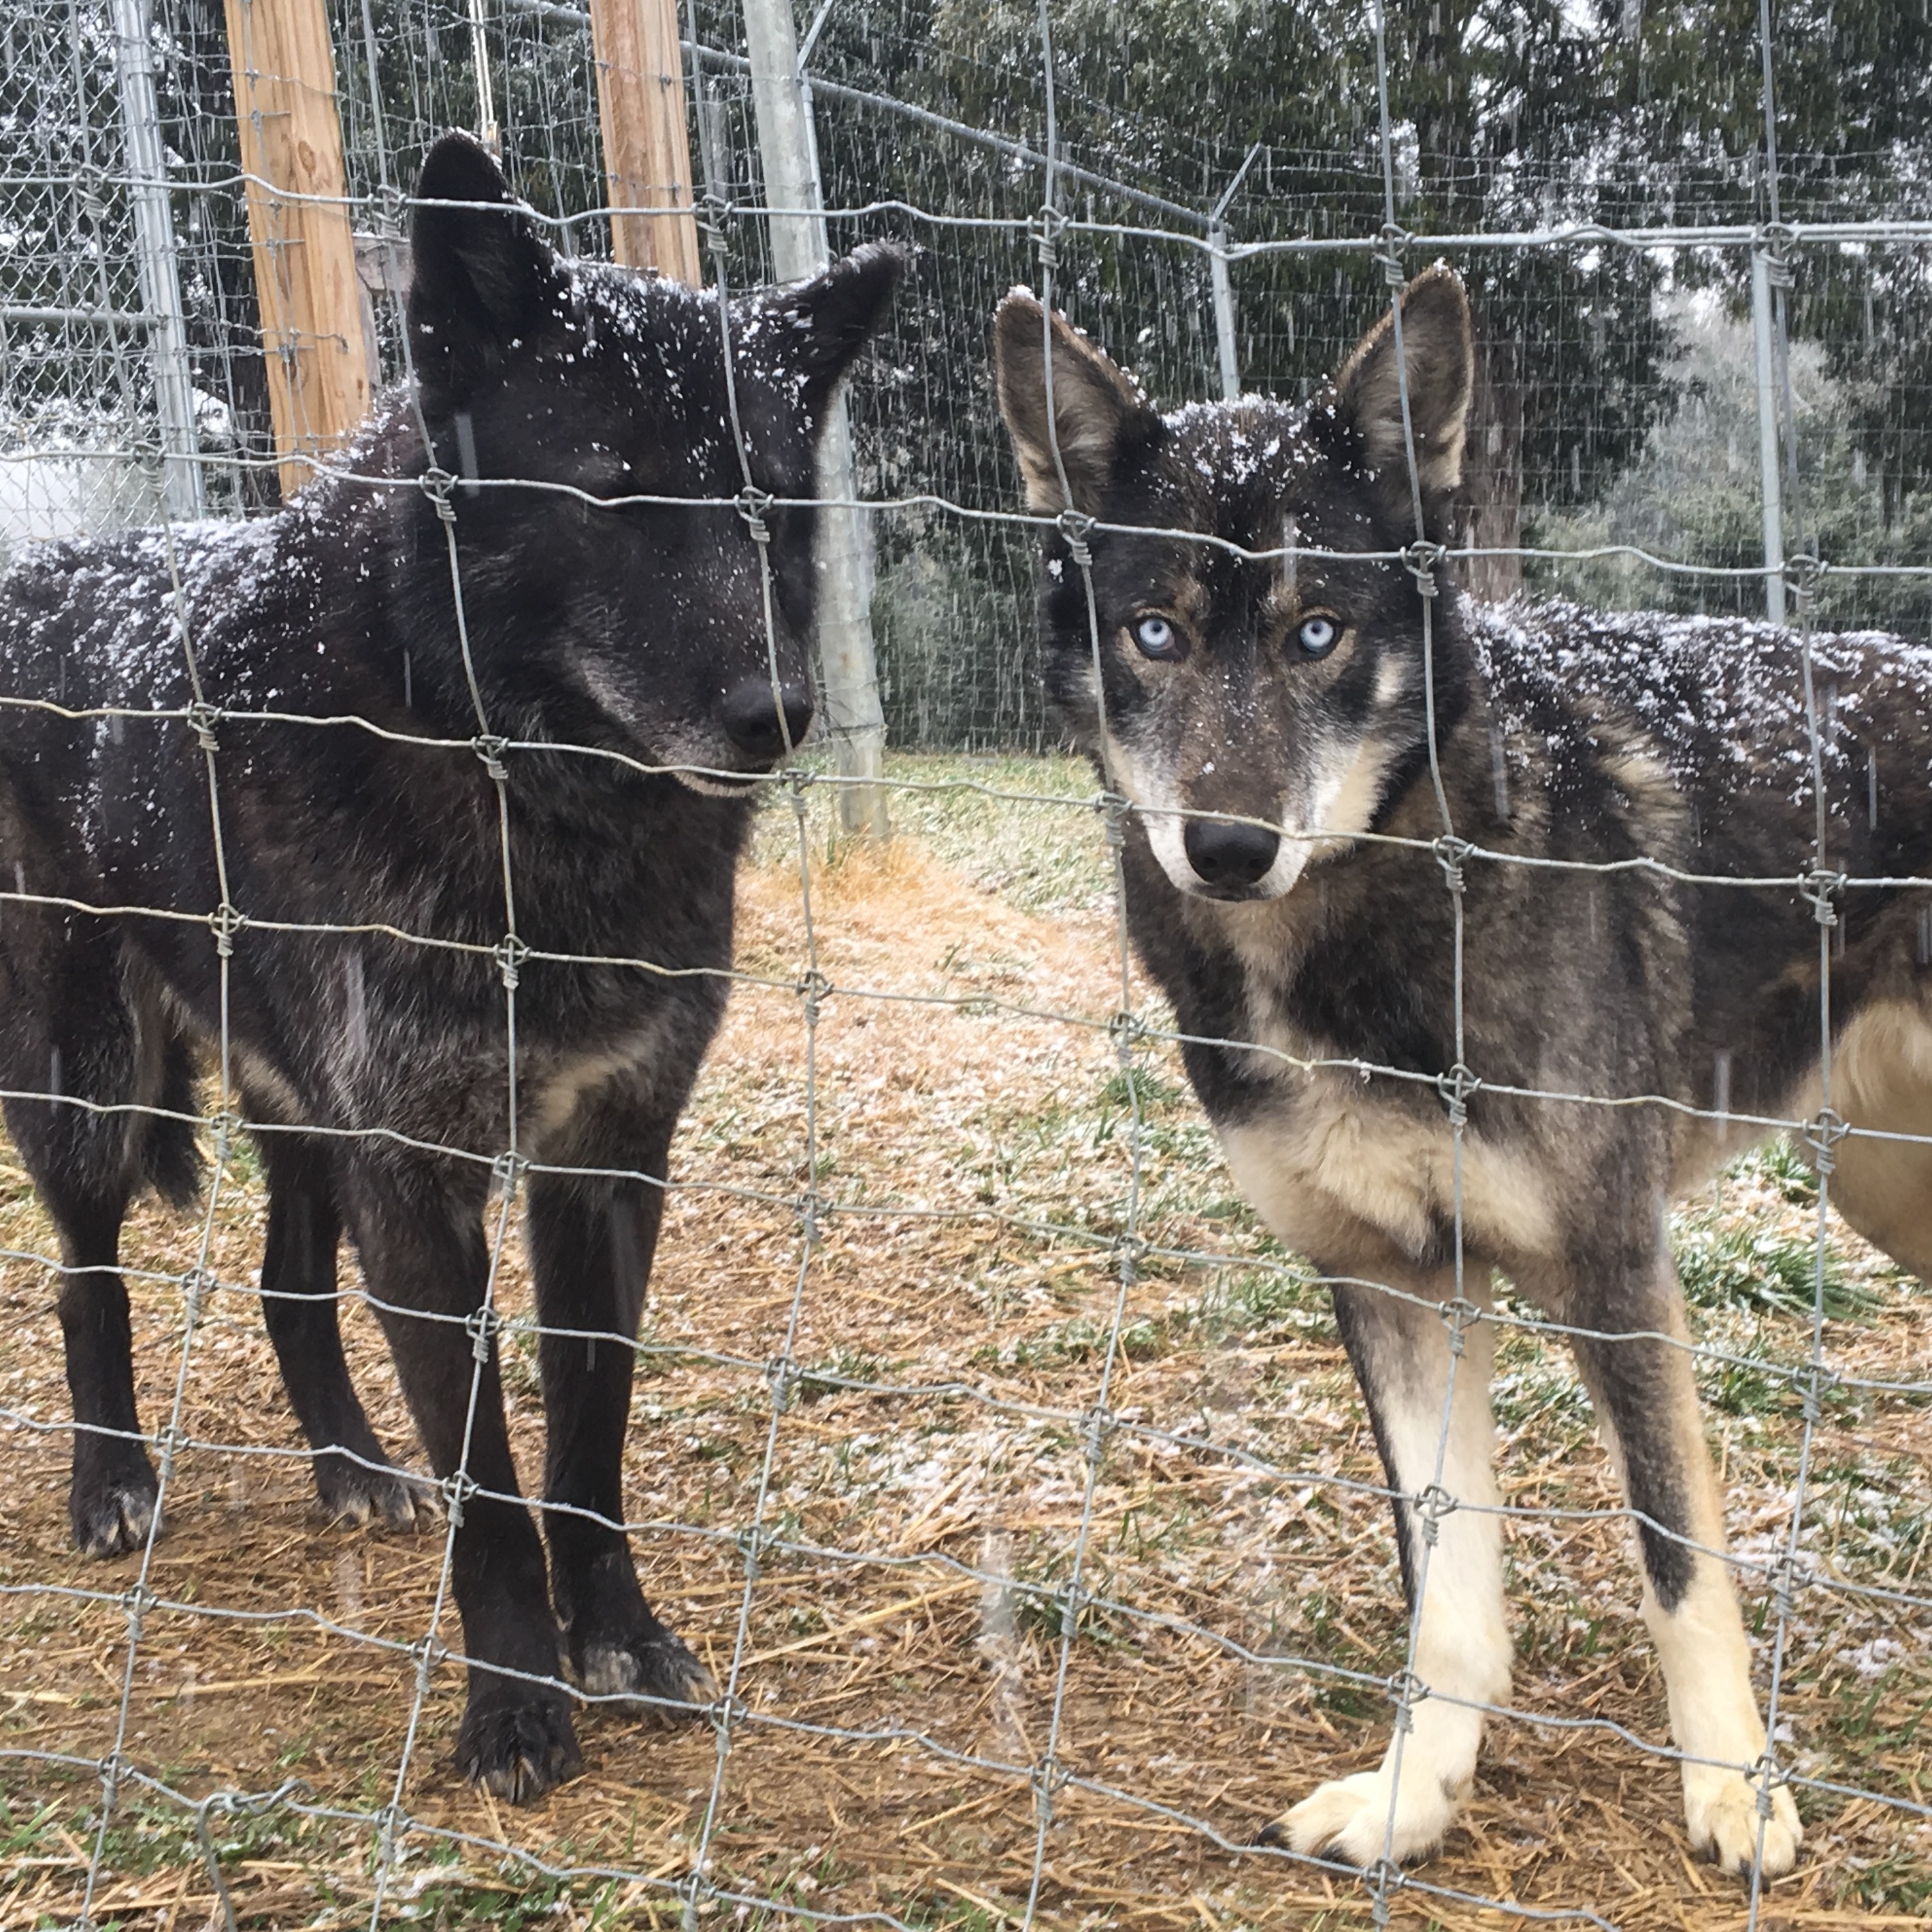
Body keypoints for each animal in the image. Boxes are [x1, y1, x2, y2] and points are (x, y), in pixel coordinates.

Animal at [0, 132, 900, 1798]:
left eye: (767, 505)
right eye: (612, 490)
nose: (781, 715)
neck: (522, 785)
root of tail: (45, 572)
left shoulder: (605, 1155)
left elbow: (587, 1438)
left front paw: (620, 1635)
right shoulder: (417, 1172)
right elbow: (488, 1483)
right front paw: (516, 1705)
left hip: (297, 1109)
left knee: (288, 1285)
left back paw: (351, 1465)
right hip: (92, 1081)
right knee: (88, 1276)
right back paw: (110, 1481)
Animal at [991, 266, 1932, 1876]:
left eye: (1315, 632)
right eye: (1155, 633)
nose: (1226, 848)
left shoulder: (1615, 1271)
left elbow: (1678, 1565)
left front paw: (1734, 1788)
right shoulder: (1389, 1278)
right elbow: (1445, 1597)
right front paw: (1413, 1795)